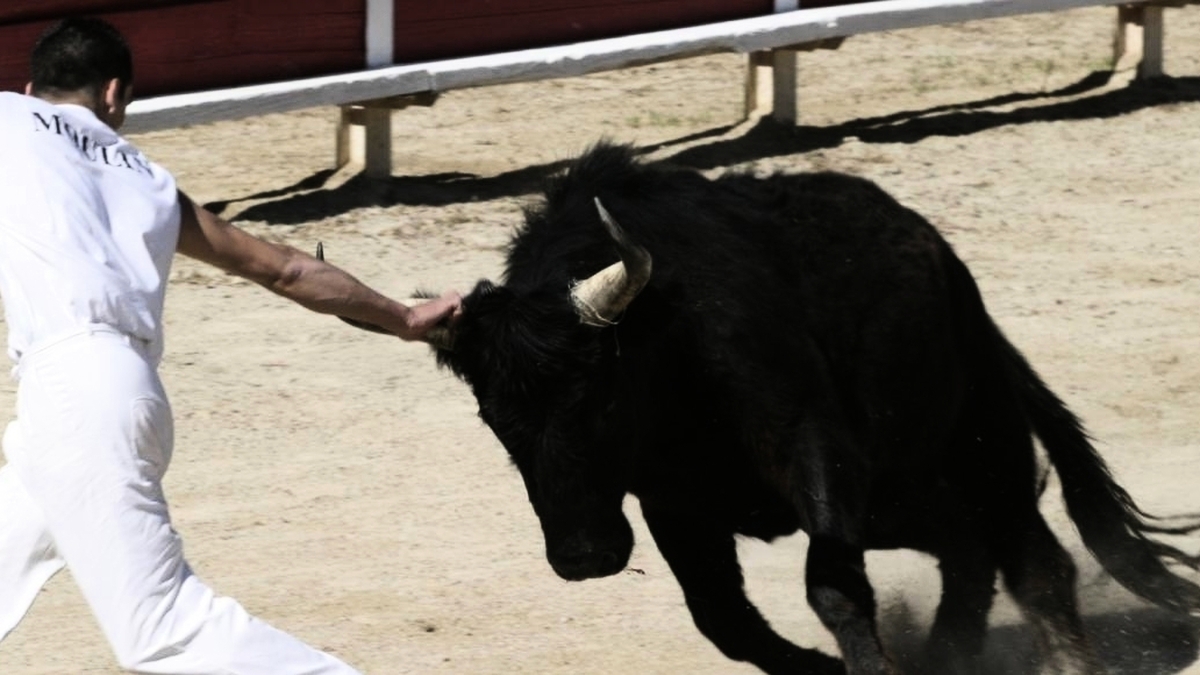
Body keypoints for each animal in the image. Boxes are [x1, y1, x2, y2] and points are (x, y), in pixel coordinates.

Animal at [326, 142, 1200, 674]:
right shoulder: (674, 502)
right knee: (967, 551)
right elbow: (724, 615)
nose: (582, 556)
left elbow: (832, 587)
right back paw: (949, 650)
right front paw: (818, 665)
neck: (665, 346)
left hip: (979, 445)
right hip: (903, 497)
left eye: (596, 399)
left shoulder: (816, 447)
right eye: (496, 422)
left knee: (1034, 561)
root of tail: (946, 262)